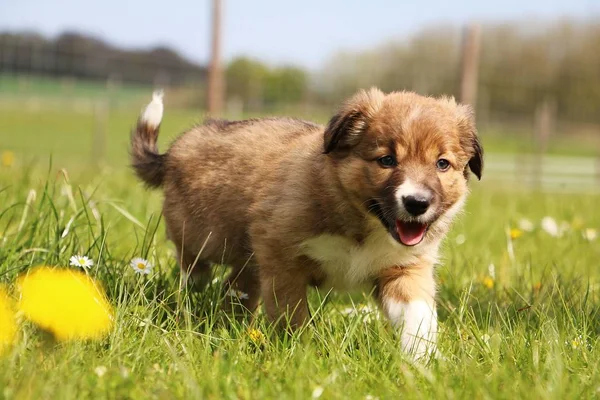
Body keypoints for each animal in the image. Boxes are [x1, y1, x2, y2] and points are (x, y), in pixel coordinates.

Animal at [131, 87, 482, 356]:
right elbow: (291, 313)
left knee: (235, 287)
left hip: (250, 261)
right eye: (386, 160)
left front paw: (423, 360)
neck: (363, 222)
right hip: (206, 237)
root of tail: (172, 152)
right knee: (194, 267)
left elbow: (418, 316)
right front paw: (298, 353)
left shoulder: (403, 268)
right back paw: (193, 299)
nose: (417, 203)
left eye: (442, 164)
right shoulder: (282, 257)